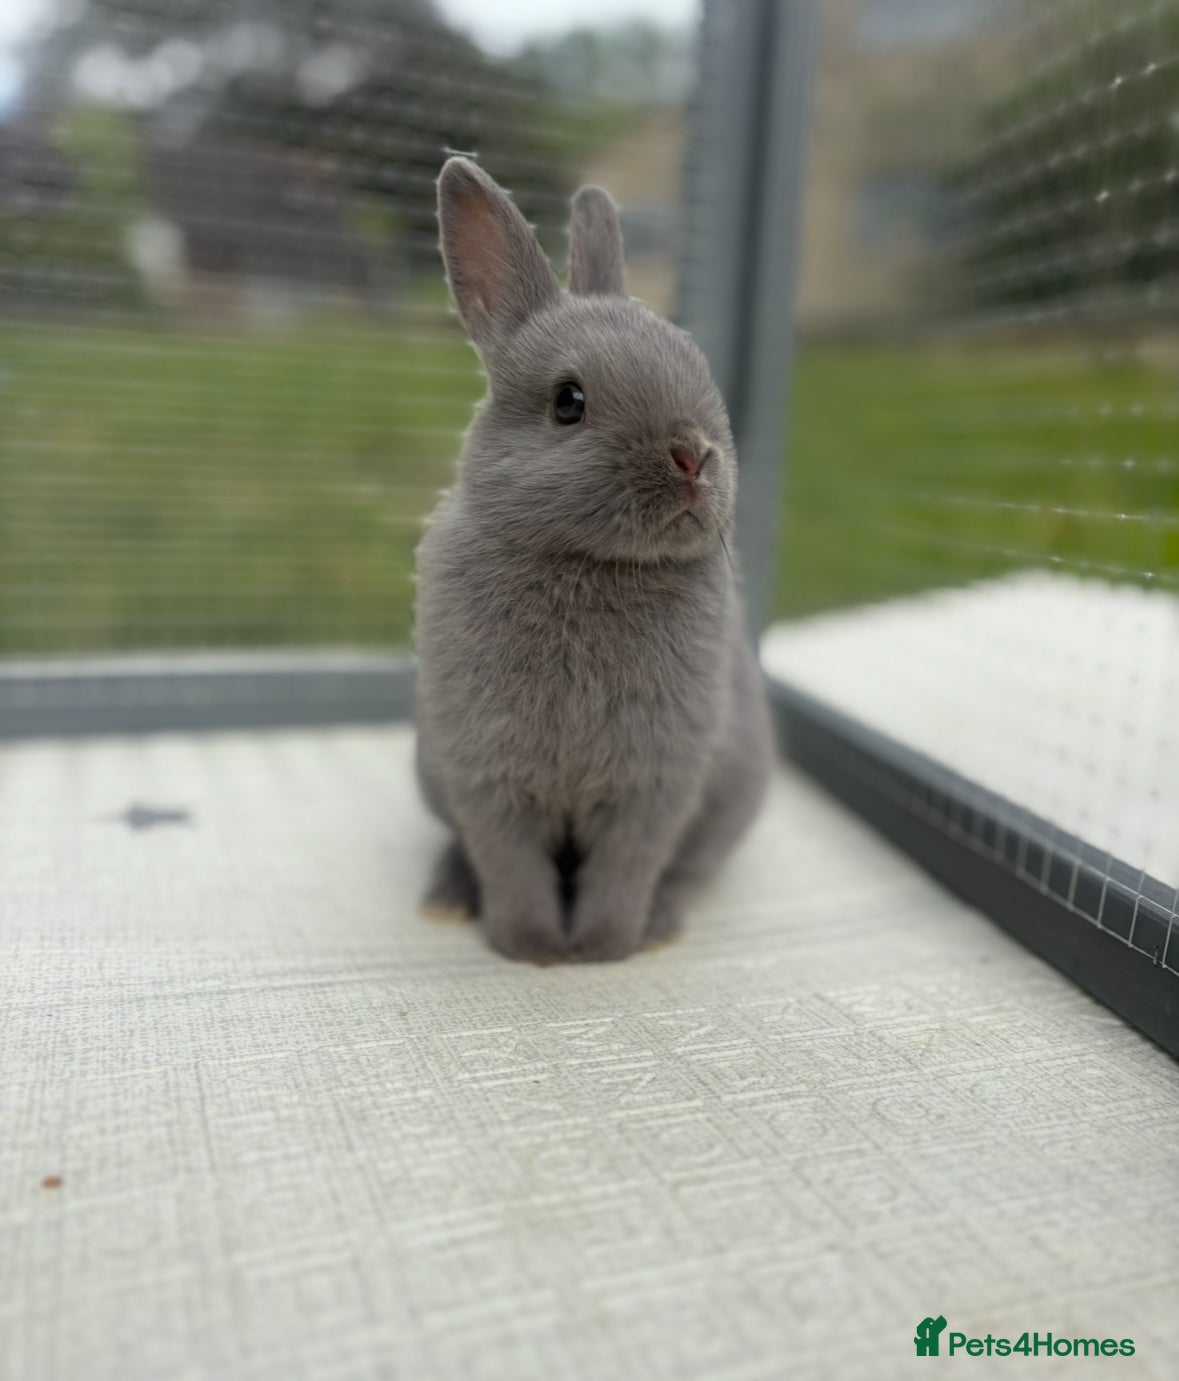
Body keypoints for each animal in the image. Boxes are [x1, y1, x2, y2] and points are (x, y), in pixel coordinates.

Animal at [413, 156, 773, 963]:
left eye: (697, 365)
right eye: (568, 402)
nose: (692, 456)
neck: (592, 563)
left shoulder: (653, 786)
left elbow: (627, 867)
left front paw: (606, 947)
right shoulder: (489, 777)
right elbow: (510, 863)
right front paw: (534, 949)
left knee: (689, 870)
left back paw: (662, 925)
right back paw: (445, 900)